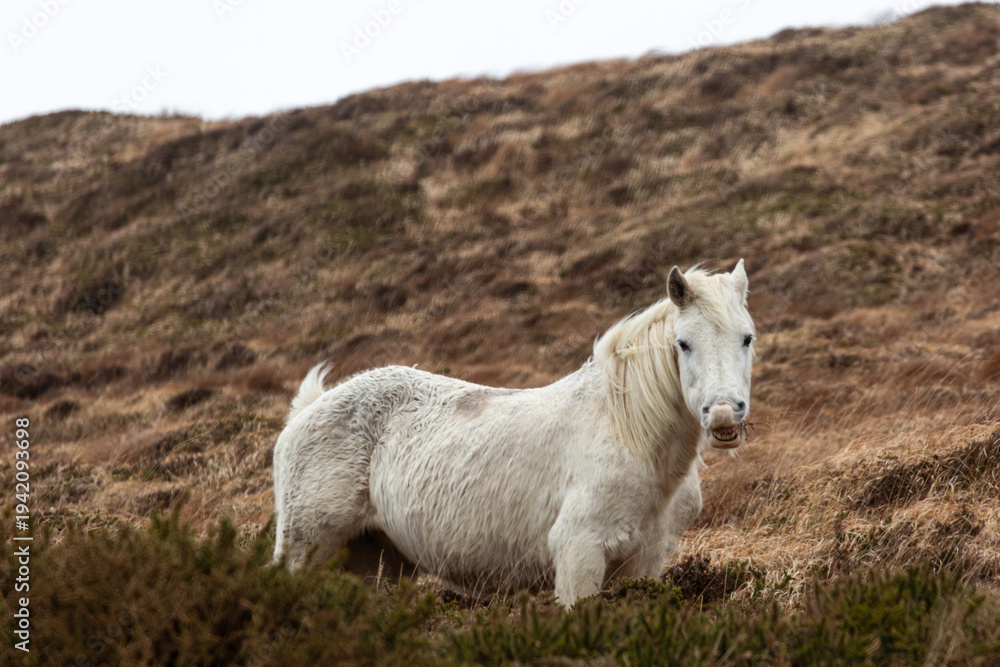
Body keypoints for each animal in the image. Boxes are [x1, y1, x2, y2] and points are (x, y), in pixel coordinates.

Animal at [272, 260, 755, 608]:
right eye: (683, 344)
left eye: (747, 338)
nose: (724, 414)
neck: (629, 434)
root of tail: (305, 411)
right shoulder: (579, 554)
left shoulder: (645, 561)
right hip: (304, 549)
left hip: (377, 559)